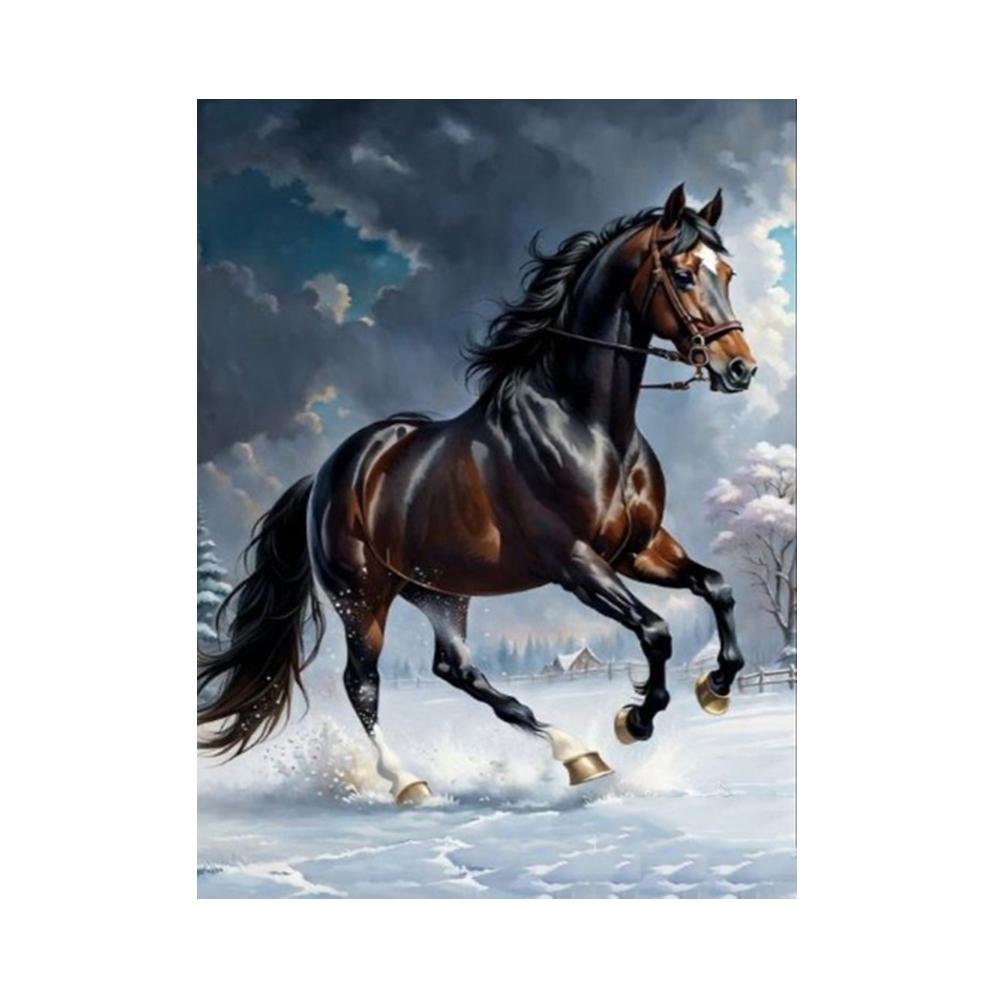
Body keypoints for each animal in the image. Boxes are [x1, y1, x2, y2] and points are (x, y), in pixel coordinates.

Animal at [198, 183, 758, 804]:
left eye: (726, 272)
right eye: (682, 274)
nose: (740, 368)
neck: (586, 428)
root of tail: (327, 473)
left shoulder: (638, 549)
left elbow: (717, 587)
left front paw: (716, 687)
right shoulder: (575, 563)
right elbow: (656, 632)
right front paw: (635, 720)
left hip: (440, 592)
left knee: (457, 669)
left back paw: (577, 755)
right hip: (362, 599)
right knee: (361, 683)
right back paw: (410, 782)